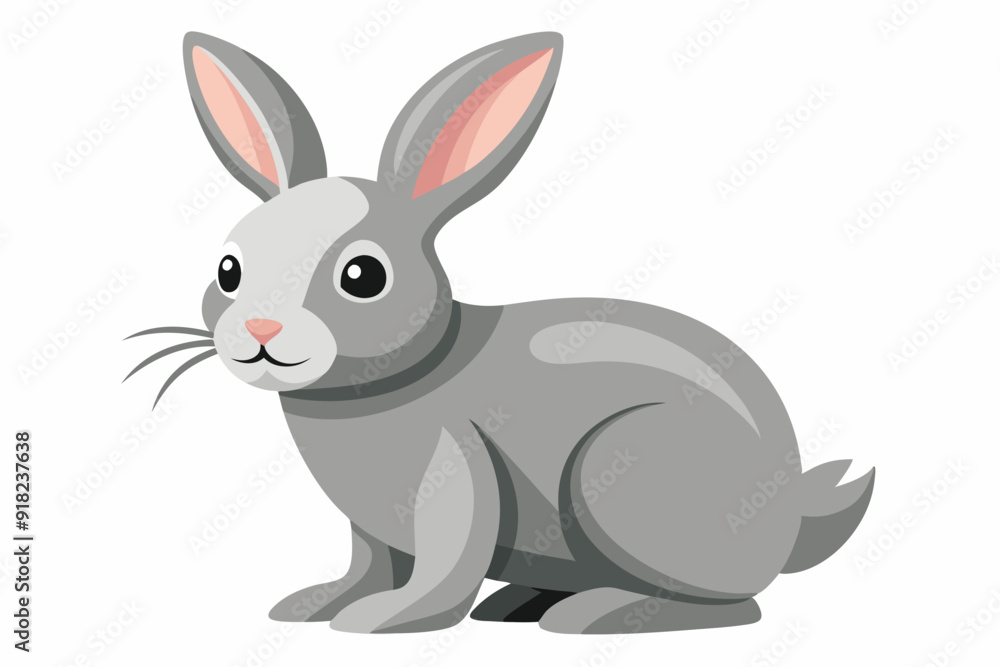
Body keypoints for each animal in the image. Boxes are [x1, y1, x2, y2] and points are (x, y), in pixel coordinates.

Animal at [126, 31, 875, 634]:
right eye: (228, 270)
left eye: (364, 275)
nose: (261, 327)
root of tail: (789, 525)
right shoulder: (367, 528)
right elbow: (366, 565)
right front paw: (316, 604)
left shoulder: (457, 469)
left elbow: (444, 568)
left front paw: (385, 620)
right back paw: (520, 603)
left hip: (621, 471)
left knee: (734, 605)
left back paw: (595, 615)